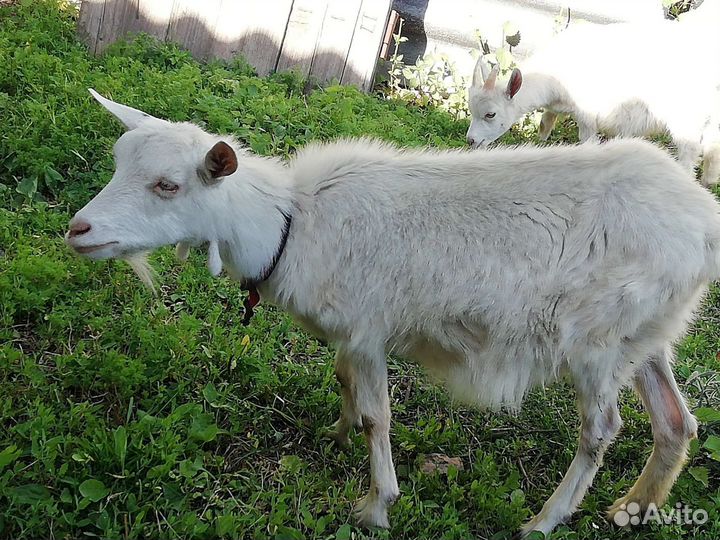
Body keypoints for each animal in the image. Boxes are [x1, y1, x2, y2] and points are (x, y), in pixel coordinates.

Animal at [67, 90, 720, 537]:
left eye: (168, 185)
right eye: (119, 162)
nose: (78, 230)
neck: (293, 224)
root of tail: (704, 221)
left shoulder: (369, 328)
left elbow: (379, 418)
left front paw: (376, 504)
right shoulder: (352, 336)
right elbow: (344, 383)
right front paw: (335, 434)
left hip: (597, 341)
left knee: (601, 429)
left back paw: (545, 519)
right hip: (647, 333)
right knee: (676, 421)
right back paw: (634, 507)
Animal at [466, 11, 720, 186]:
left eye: (491, 114)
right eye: (471, 110)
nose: (470, 141)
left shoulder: (586, 114)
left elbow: (587, 141)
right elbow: (545, 122)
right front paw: (542, 142)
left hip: (686, 116)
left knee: (689, 151)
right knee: (713, 147)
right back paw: (709, 182)